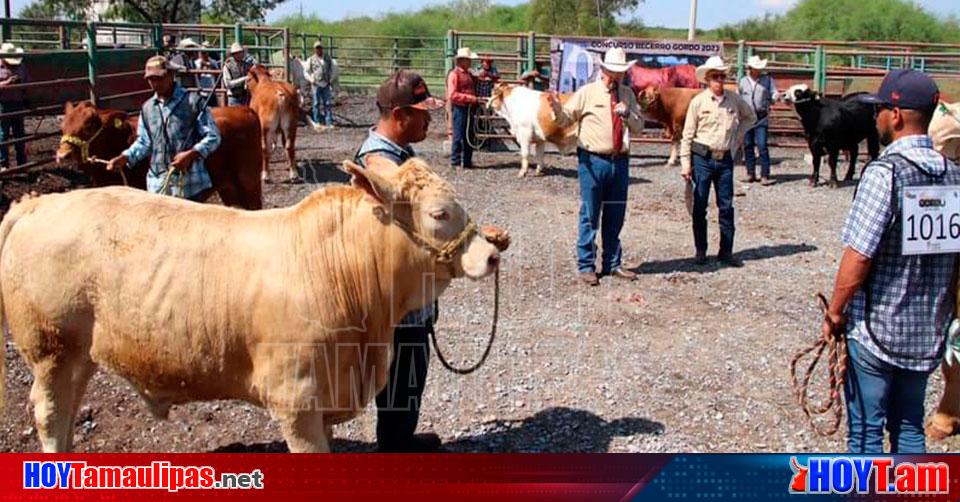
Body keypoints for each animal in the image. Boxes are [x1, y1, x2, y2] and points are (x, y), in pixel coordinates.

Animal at [57, 101, 264, 211]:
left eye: (89, 127)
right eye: (63, 126)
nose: (62, 155)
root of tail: (244, 109)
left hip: (249, 183)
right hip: (228, 187)